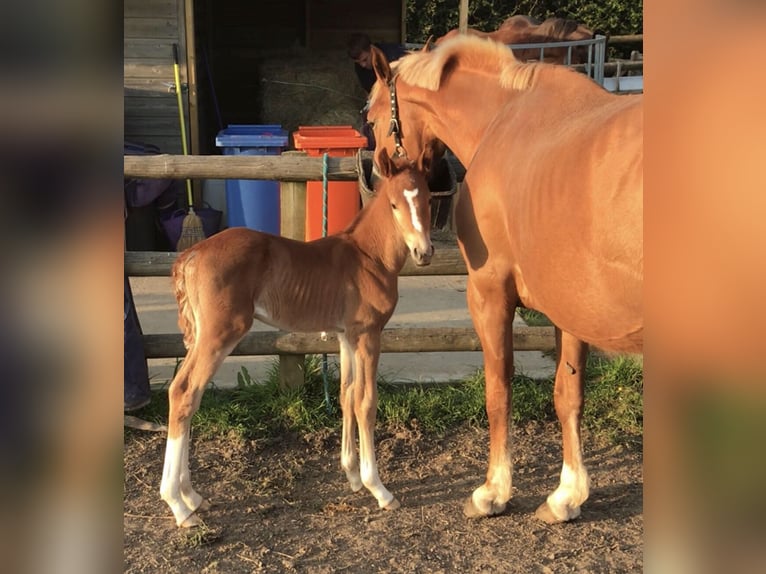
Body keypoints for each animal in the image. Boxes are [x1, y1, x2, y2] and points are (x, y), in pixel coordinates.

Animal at [160, 150, 438, 532]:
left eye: (427, 199)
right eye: (394, 204)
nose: (424, 252)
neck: (369, 257)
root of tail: (190, 255)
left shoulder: (346, 335)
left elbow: (347, 394)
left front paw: (352, 476)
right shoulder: (368, 334)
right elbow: (366, 401)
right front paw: (378, 488)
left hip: (203, 335)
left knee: (187, 394)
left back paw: (191, 495)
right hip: (220, 334)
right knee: (185, 391)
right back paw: (178, 505)